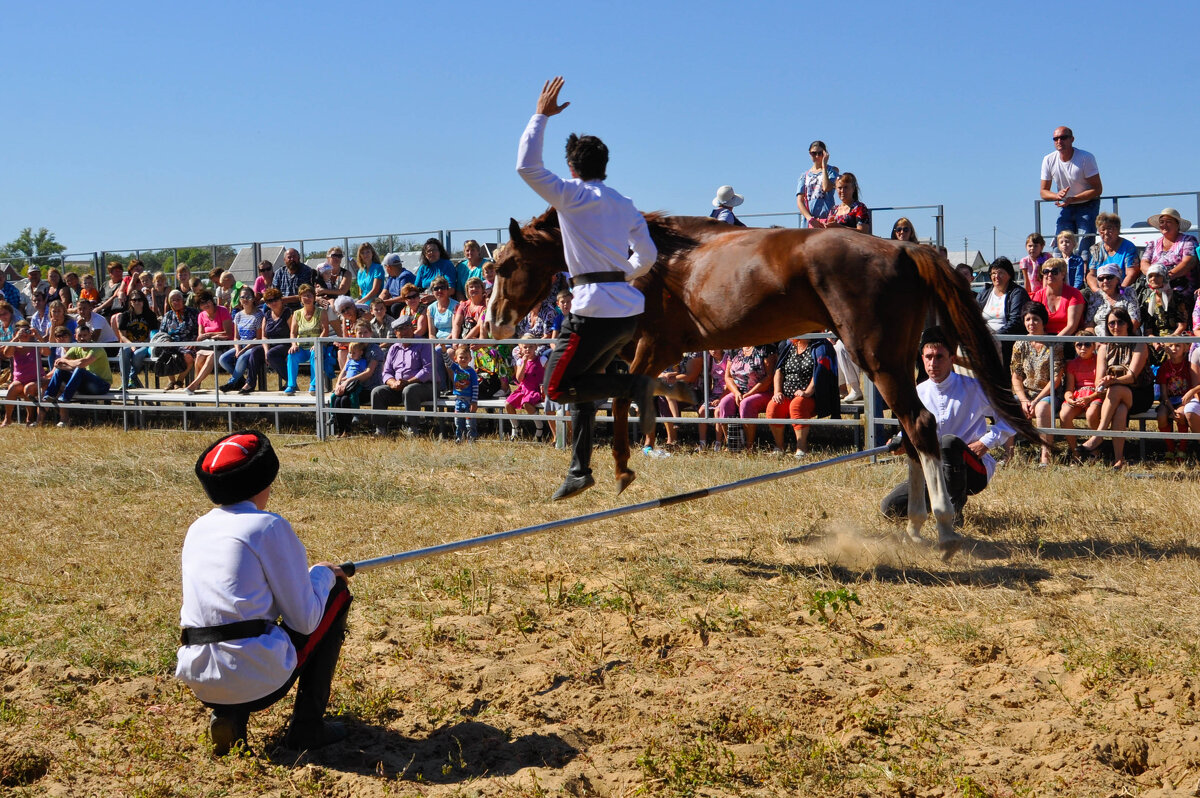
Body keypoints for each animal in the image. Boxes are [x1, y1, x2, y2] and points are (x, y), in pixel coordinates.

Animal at [489, 208, 1041, 552]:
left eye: (507, 264)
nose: (495, 321)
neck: (653, 263)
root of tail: (903, 250)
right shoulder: (640, 348)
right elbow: (604, 388)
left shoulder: (651, 346)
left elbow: (623, 392)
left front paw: (628, 457)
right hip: (900, 360)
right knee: (911, 430)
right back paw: (917, 527)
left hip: (876, 358)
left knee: (921, 425)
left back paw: (943, 528)